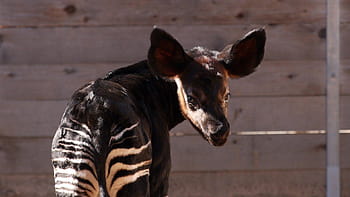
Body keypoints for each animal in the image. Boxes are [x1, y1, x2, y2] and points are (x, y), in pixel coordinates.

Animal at [51, 28, 266, 197]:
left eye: (227, 95)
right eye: (191, 99)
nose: (219, 132)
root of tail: (99, 119)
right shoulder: (160, 173)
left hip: (71, 176)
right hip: (132, 174)